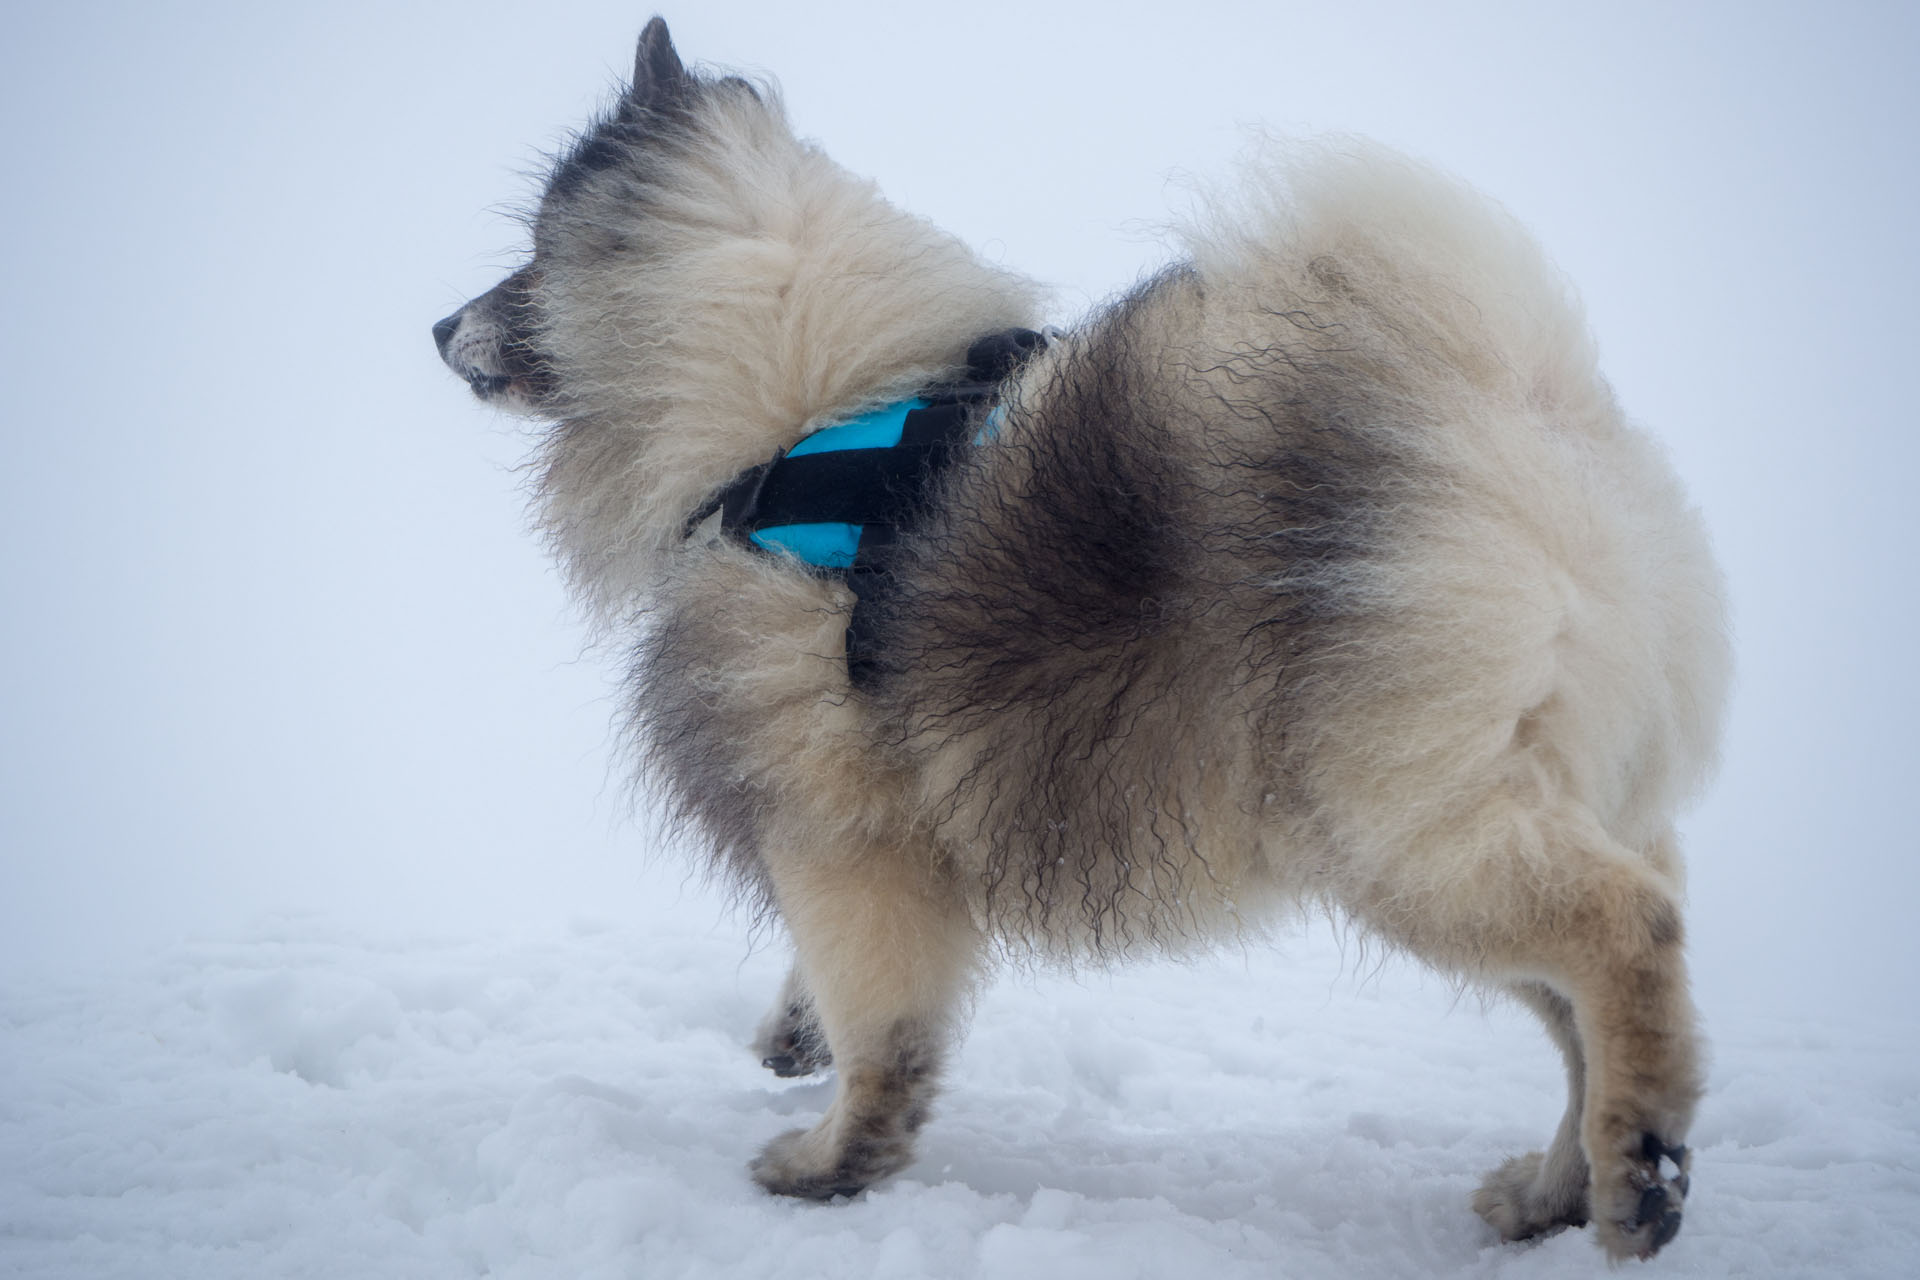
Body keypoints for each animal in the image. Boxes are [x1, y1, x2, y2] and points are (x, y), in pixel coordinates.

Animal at [435, 20, 1728, 1258]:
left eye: (529, 258)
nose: (440, 323)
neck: (795, 421)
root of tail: (1516, 406)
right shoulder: (846, 833)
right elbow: (828, 982)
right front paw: (793, 1037)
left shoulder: (842, 834)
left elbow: (880, 1019)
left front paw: (833, 1160)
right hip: (1493, 799)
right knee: (1592, 992)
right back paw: (1563, 1185)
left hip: (1394, 825)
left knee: (1626, 931)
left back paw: (1638, 1172)